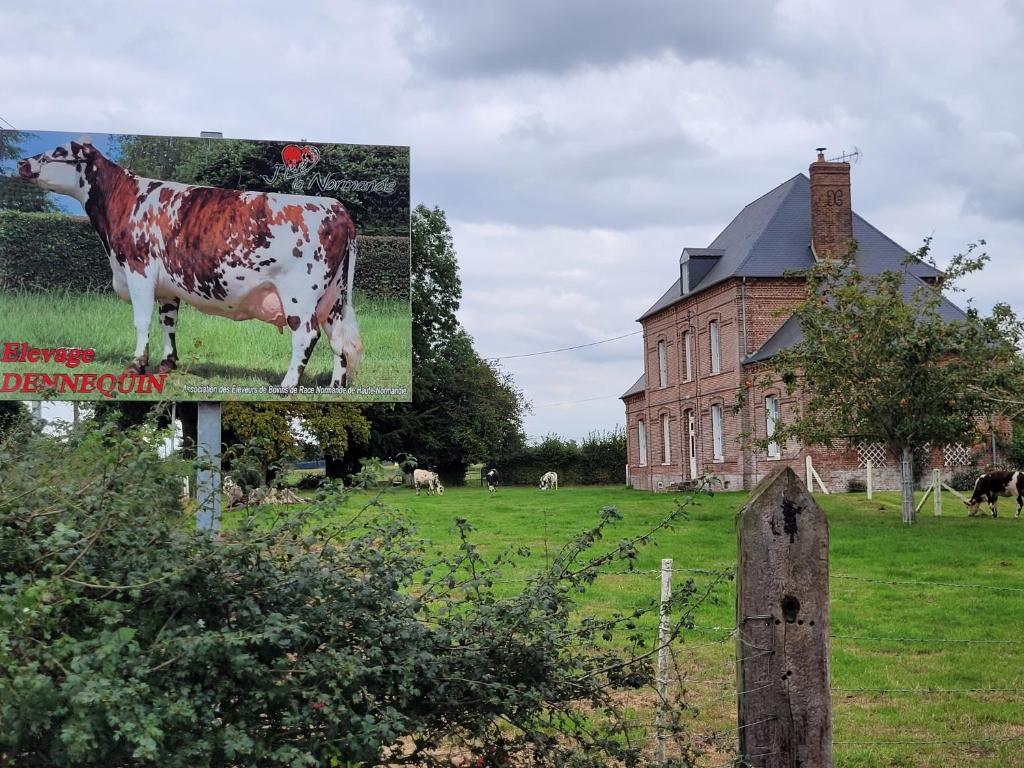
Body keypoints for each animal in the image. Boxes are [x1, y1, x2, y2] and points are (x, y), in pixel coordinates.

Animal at [16, 139, 362, 387]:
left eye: (58, 152)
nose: (22, 162)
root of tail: (335, 207)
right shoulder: (166, 286)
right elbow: (168, 322)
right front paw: (167, 364)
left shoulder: (139, 269)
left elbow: (141, 320)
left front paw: (136, 366)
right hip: (333, 298)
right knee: (338, 338)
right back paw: (335, 386)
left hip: (299, 293)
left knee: (307, 335)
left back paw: (287, 385)